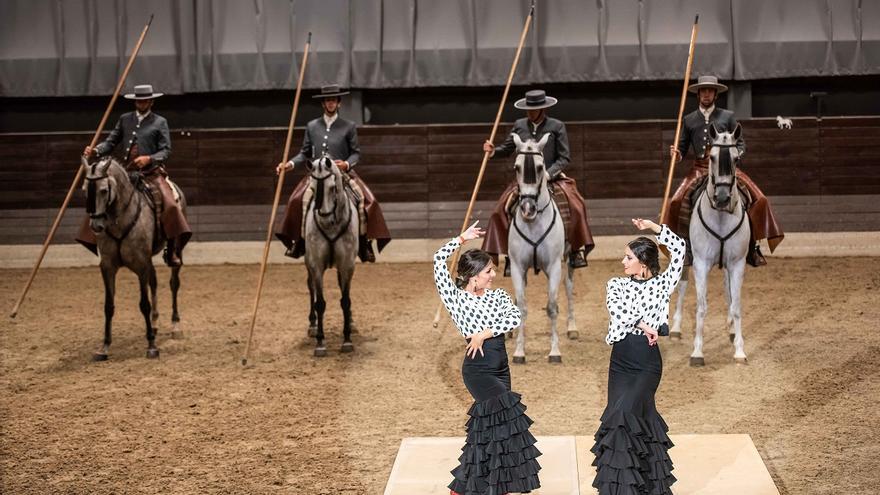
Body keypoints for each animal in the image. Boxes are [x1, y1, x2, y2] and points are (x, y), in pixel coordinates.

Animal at [83, 156, 185, 360]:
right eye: (85, 190)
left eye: (104, 190)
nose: (96, 225)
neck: (119, 220)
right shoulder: (108, 267)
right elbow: (109, 305)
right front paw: (104, 347)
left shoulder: (141, 265)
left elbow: (144, 304)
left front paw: (151, 346)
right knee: (154, 282)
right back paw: (155, 324)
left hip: (175, 252)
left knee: (173, 284)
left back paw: (175, 326)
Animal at [302, 155, 358, 356]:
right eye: (312, 188)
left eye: (333, 188)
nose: (325, 219)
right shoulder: (316, 265)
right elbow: (320, 302)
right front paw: (320, 342)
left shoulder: (347, 264)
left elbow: (345, 300)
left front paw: (347, 340)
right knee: (310, 287)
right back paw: (312, 325)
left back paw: (351, 322)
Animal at [506, 134, 576, 366]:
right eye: (516, 167)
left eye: (539, 167)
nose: (528, 208)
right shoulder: (517, 267)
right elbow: (522, 307)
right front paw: (519, 352)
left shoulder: (554, 267)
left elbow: (552, 307)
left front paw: (555, 351)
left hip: (568, 260)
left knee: (569, 288)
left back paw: (572, 327)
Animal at [672, 124, 752, 364]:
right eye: (712, 157)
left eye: (736, 158)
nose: (723, 198)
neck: (721, 217)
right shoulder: (700, 263)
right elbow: (701, 306)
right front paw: (697, 351)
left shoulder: (737, 263)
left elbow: (736, 305)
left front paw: (739, 350)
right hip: (685, 258)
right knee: (682, 285)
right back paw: (676, 328)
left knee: (728, 291)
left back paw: (732, 330)